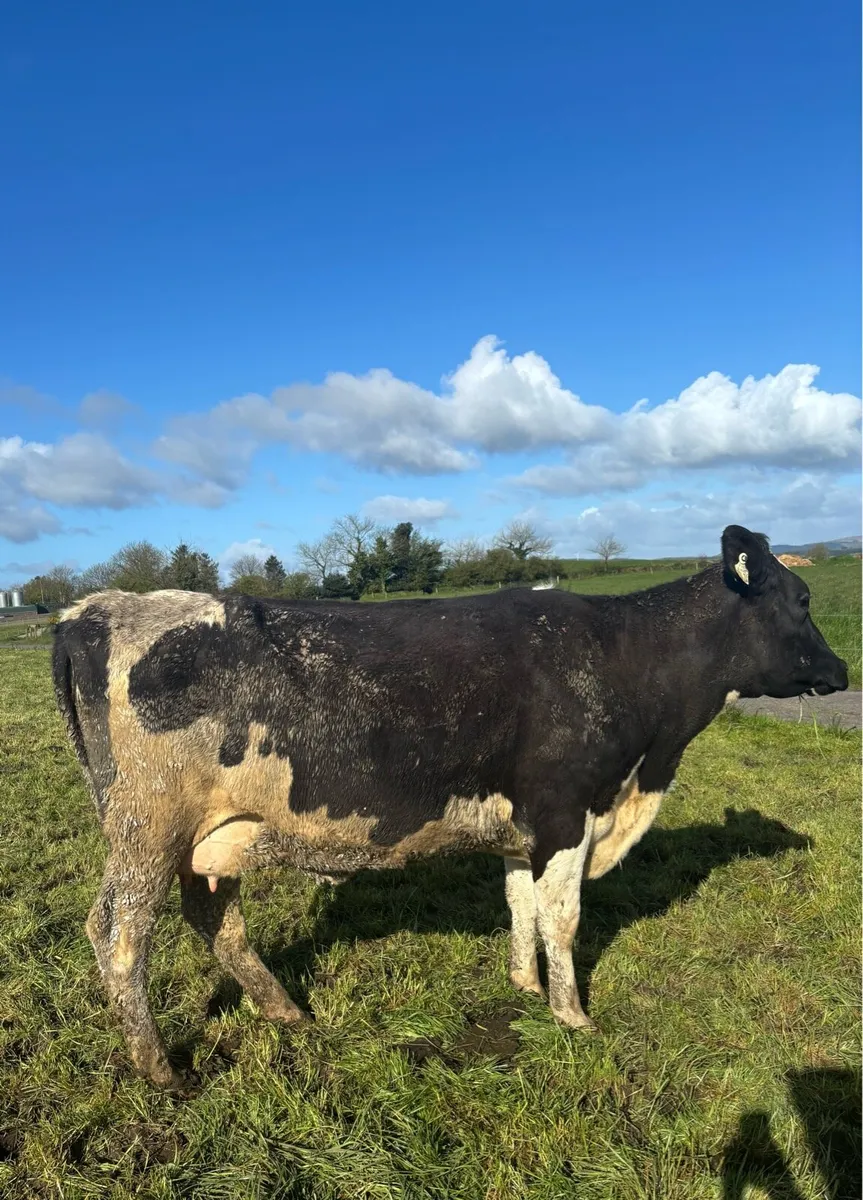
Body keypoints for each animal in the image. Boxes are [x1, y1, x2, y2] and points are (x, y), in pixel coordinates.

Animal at [52, 525, 847, 1091]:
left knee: (216, 921)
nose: (841, 670)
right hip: (146, 832)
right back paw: (160, 1068)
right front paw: (571, 1016)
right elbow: (562, 917)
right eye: (802, 601)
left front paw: (524, 985)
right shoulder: (566, 813)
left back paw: (286, 1011)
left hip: (209, 837)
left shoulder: (524, 827)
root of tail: (97, 607)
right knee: (118, 936)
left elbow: (519, 903)